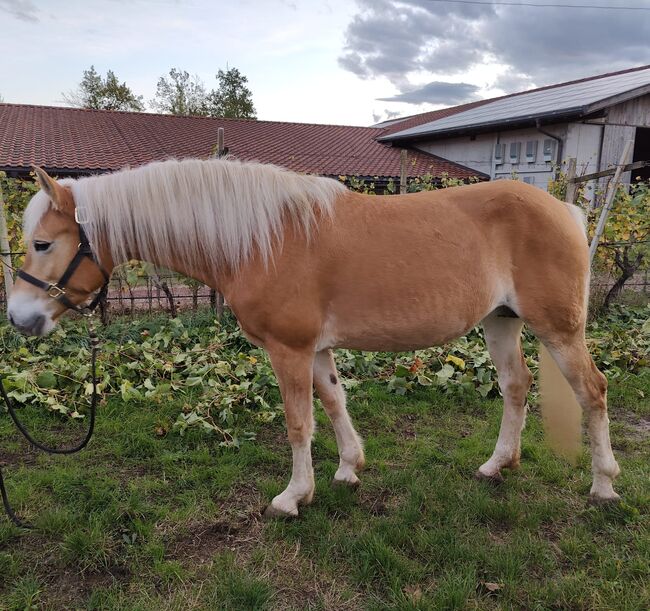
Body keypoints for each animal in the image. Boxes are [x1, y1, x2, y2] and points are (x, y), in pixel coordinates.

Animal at [8, 158, 616, 516]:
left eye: (42, 244)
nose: (19, 318)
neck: (261, 238)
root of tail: (563, 207)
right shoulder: (317, 349)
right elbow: (334, 401)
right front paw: (349, 468)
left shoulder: (289, 350)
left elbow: (298, 422)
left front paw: (293, 496)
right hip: (500, 322)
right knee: (516, 385)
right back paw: (498, 464)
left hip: (560, 330)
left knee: (593, 391)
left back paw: (604, 484)